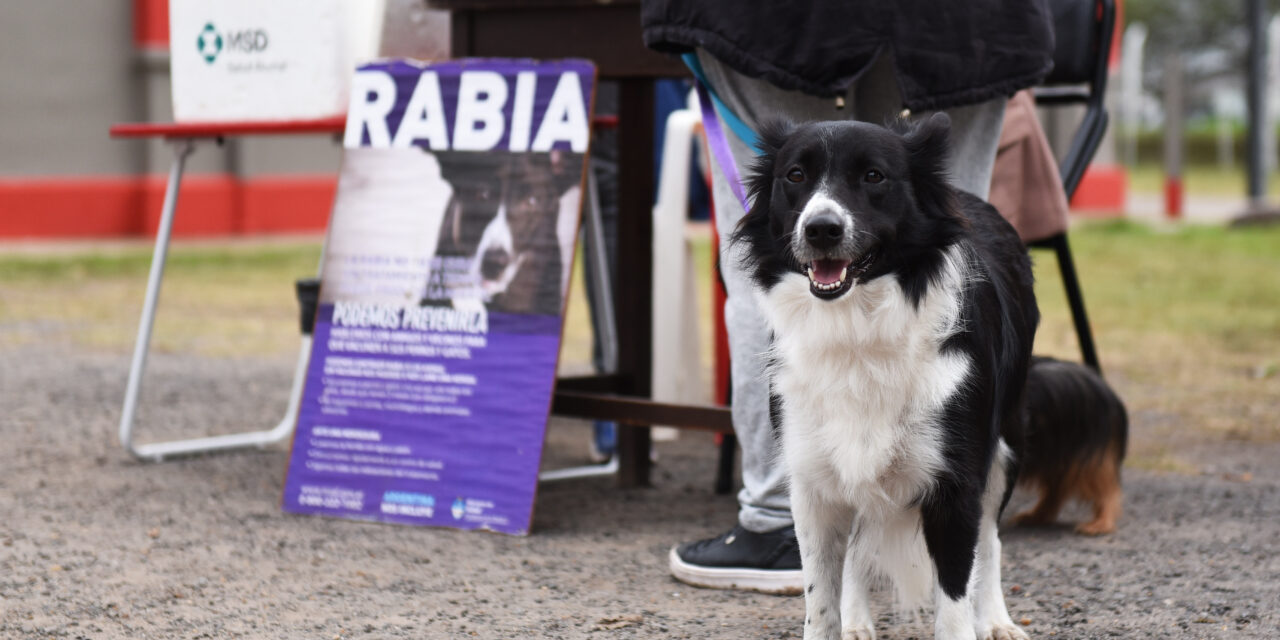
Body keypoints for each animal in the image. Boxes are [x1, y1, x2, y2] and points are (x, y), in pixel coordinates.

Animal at [732, 112, 1039, 637]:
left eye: (874, 176)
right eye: (795, 175)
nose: (821, 229)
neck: (858, 327)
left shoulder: (956, 483)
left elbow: (956, 601)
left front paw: (975, 618)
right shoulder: (813, 484)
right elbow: (820, 600)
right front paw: (841, 619)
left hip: (1006, 446)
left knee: (991, 539)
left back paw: (997, 618)